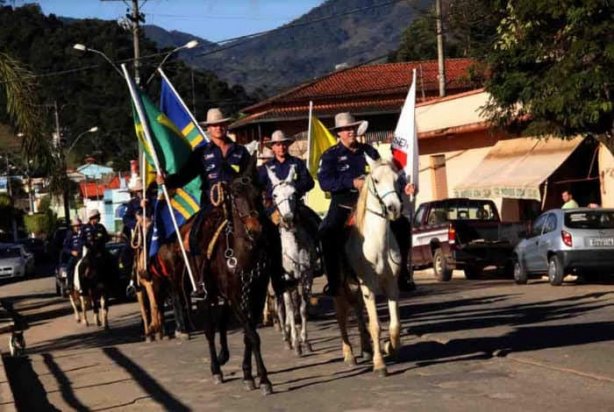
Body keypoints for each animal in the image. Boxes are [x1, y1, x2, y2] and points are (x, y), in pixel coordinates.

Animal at [268, 166, 320, 356]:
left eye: (295, 193)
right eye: (274, 194)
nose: (289, 219)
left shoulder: (306, 276)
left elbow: (302, 308)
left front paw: (305, 340)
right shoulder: (285, 279)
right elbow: (289, 308)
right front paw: (296, 343)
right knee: (280, 306)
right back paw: (286, 336)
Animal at [334, 158, 406, 376]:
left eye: (397, 179)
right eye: (376, 180)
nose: (394, 208)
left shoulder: (392, 285)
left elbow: (395, 325)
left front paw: (391, 347)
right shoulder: (370, 287)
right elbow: (375, 325)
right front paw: (380, 364)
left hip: (356, 288)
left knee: (357, 312)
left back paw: (365, 349)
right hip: (341, 288)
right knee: (341, 317)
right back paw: (349, 354)